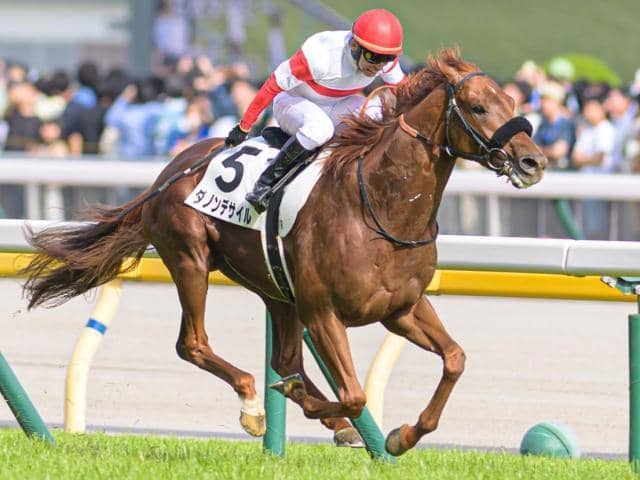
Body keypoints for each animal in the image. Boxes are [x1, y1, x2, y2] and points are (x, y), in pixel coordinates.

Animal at [21, 49, 546, 455]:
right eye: (477, 107)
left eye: (513, 101)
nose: (533, 161)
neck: (379, 207)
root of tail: (170, 171)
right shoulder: (324, 311)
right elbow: (354, 393)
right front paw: (332, 413)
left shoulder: (402, 307)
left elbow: (454, 359)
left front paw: (401, 436)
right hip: (191, 258)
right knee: (195, 344)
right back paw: (254, 405)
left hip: (276, 291)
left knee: (286, 359)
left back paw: (315, 414)